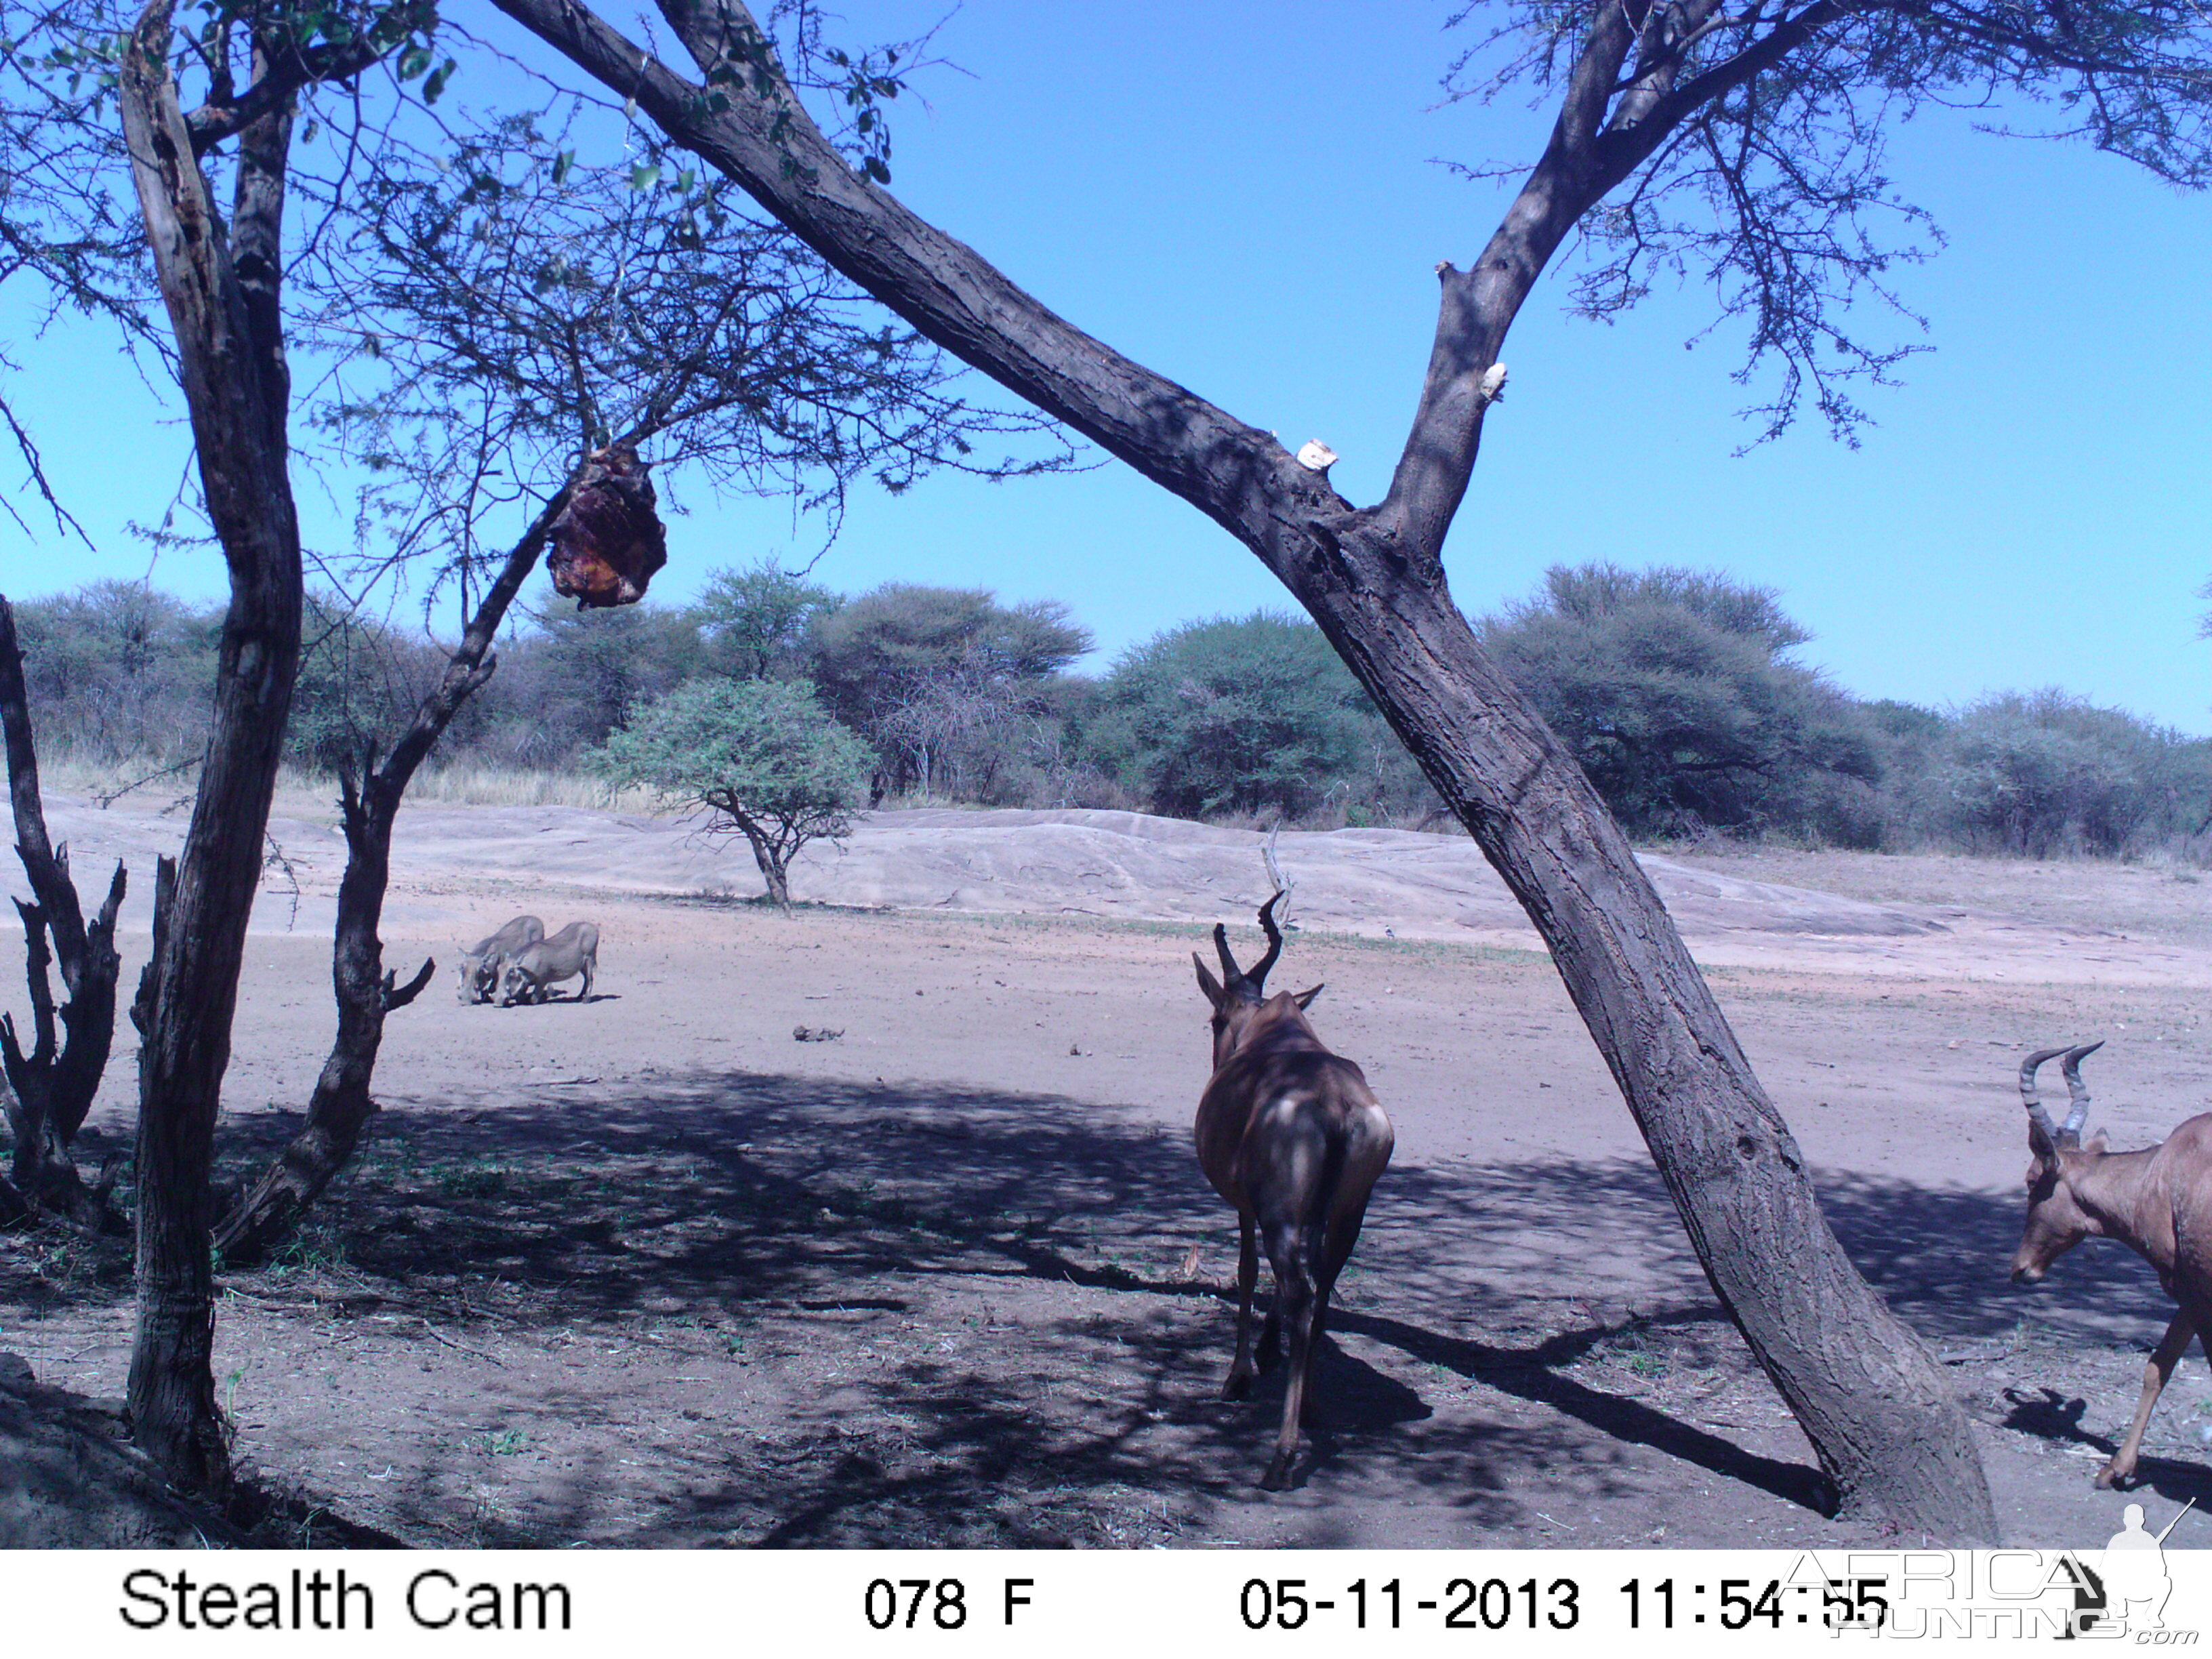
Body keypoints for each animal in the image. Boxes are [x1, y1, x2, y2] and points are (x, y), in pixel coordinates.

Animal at [1203, 898, 1389, 1495]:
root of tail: (1334, 1106)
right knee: (1322, 1288)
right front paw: (1267, 1353)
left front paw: (1239, 1375)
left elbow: (1244, 1271)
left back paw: (1281, 1457)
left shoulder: (1248, 1207)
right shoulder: (1316, 1215)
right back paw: (1308, 1409)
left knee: (1300, 1291)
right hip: (1351, 1213)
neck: (1276, 1031)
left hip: (1282, 1216)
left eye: (1215, 1019)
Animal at [2017, 1040, 2203, 1495]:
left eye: (2032, 1180)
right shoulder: (2191, 1297)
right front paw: (2116, 1468)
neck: (2163, 1174)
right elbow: (2159, 1366)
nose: (2021, 1269)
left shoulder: (2200, 1295)